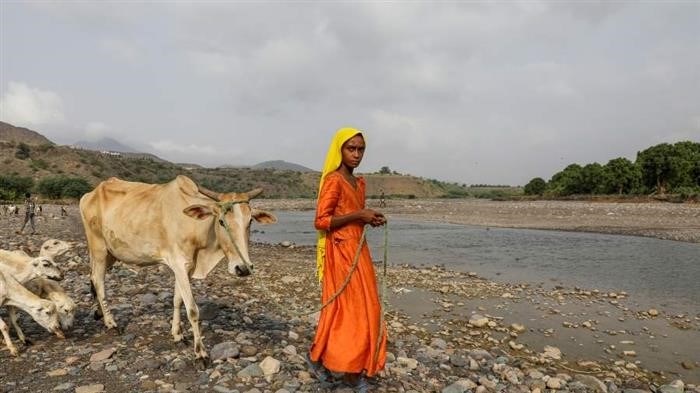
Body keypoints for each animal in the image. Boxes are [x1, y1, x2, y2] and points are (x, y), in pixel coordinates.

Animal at [80, 175, 278, 358]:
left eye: (250, 221)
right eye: (221, 222)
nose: (243, 268)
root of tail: (89, 195)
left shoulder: (186, 268)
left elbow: (177, 300)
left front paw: (177, 334)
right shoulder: (180, 263)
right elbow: (192, 310)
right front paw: (200, 353)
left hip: (111, 253)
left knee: (92, 277)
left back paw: (99, 313)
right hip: (98, 248)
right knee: (98, 282)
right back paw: (111, 323)